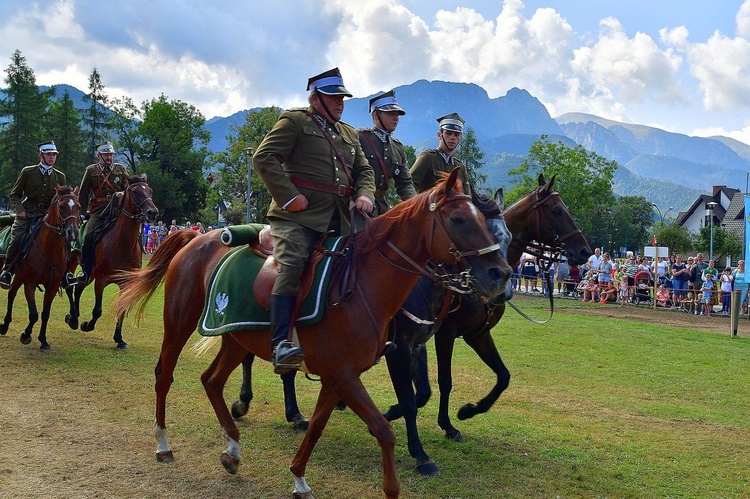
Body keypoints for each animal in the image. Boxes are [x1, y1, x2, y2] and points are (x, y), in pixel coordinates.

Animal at [0, 188, 81, 352]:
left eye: (78, 206)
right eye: (61, 206)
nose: (73, 232)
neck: (49, 248)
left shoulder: (53, 286)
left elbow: (45, 313)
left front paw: (43, 340)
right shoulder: (30, 283)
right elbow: (33, 314)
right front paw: (26, 335)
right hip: (18, 275)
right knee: (11, 294)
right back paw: (4, 325)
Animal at [65, 174, 159, 350]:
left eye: (150, 190)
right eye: (134, 191)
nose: (153, 212)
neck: (123, 244)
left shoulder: (126, 284)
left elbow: (121, 309)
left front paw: (119, 339)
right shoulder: (101, 280)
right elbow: (97, 310)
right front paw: (87, 325)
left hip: (89, 274)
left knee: (78, 288)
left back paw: (75, 316)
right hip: (74, 264)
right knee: (69, 286)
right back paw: (73, 318)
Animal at [114, 170, 516, 498]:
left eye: (502, 230)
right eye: (459, 218)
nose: (501, 274)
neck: (363, 284)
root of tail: (197, 237)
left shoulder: (339, 375)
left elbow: (320, 426)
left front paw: (299, 478)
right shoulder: (349, 372)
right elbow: (384, 429)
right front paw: (396, 479)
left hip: (235, 338)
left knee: (211, 380)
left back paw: (232, 449)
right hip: (178, 324)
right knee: (164, 375)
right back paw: (163, 444)